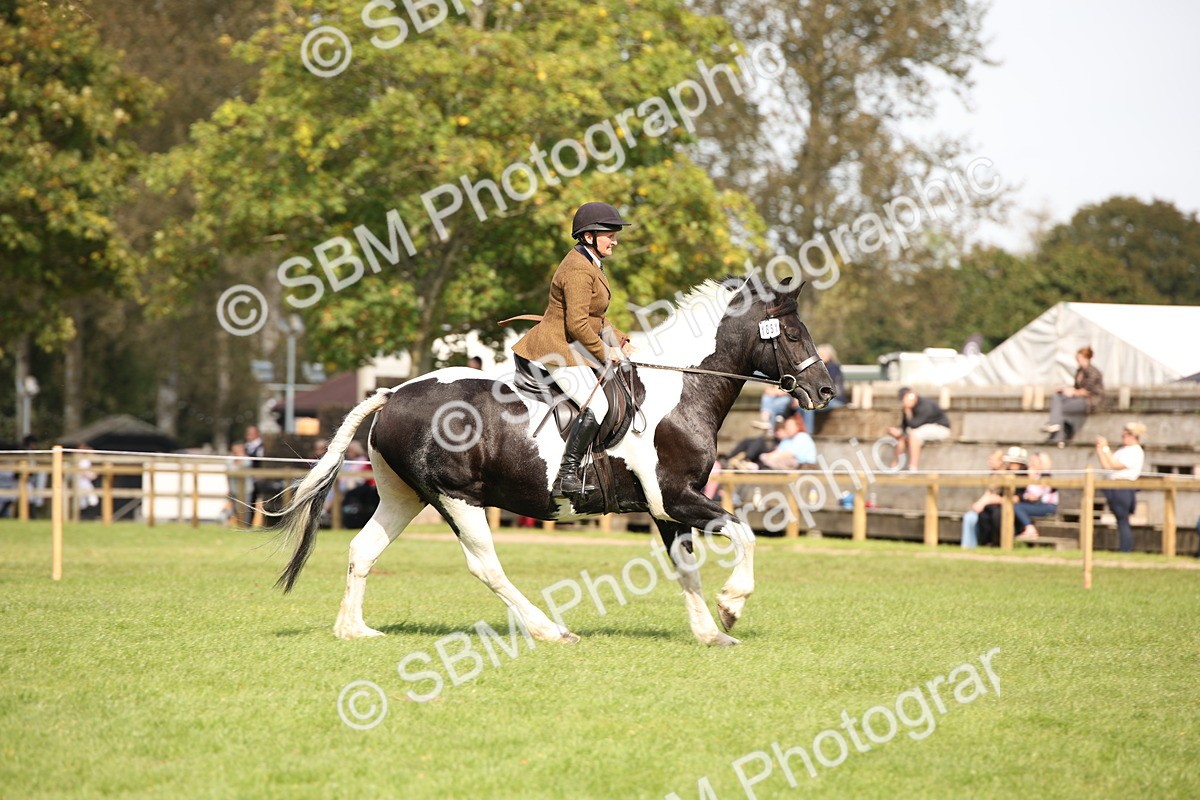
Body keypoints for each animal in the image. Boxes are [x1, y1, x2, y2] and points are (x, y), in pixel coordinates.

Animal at [272, 276, 834, 646]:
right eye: (792, 335)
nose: (825, 391)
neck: (678, 392)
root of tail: (393, 394)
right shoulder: (677, 497)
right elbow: (745, 533)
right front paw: (732, 605)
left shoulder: (665, 507)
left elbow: (686, 568)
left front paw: (710, 633)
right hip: (457, 498)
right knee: (484, 565)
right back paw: (549, 629)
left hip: (404, 496)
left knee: (363, 550)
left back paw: (354, 629)